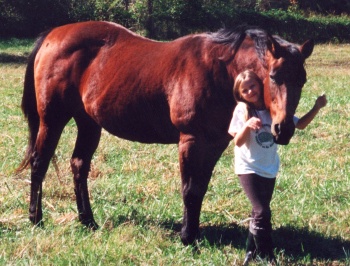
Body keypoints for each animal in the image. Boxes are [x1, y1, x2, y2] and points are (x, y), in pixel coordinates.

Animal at [17, 21, 314, 245]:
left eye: (302, 80)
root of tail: (53, 35)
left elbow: (200, 189)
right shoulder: (191, 140)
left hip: (89, 123)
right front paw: (187, 237)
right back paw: (36, 219)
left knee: (79, 165)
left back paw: (88, 220)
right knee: (39, 163)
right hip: (52, 120)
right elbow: (189, 190)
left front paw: (191, 232)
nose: (283, 129)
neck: (218, 70)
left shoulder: (214, 143)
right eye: (274, 76)